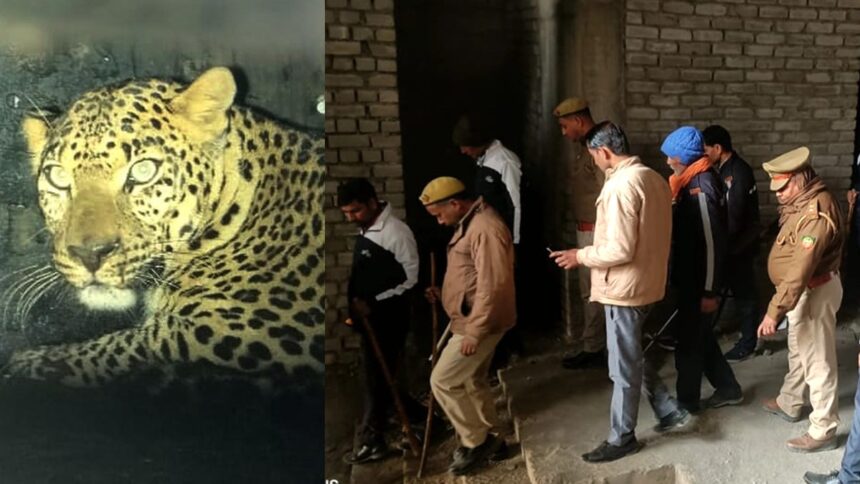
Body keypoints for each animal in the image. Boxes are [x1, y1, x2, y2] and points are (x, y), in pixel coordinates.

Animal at [3, 66, 325, 388]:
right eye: (57, 176)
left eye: (143, 171)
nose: (90, 254)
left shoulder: (229, 332)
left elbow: (130, 346)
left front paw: (28, 363)